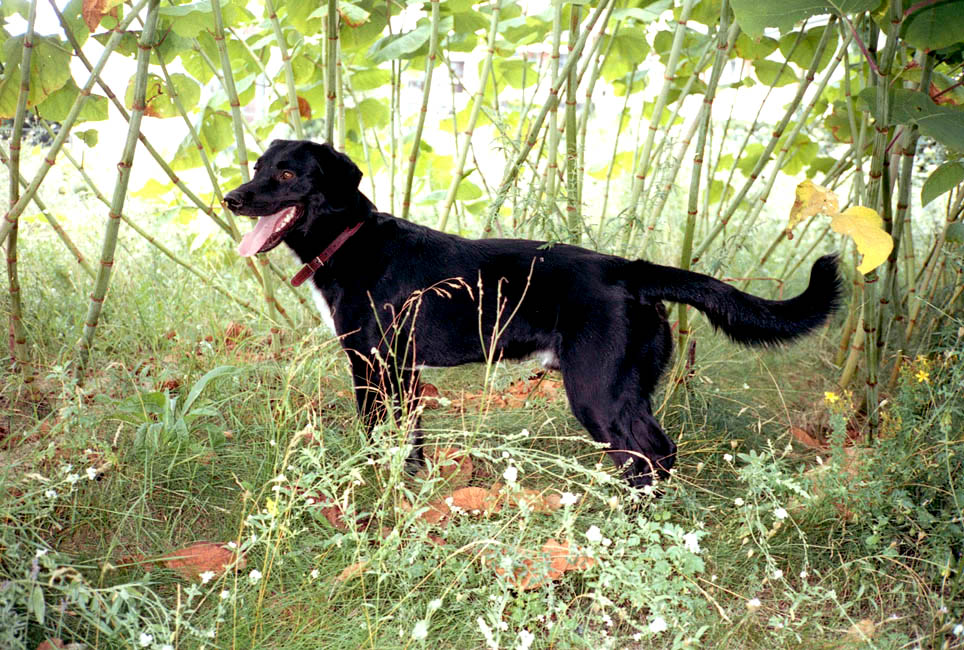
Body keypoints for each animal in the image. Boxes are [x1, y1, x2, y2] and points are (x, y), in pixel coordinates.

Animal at [224, 140, 840, 488]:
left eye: (287, 175)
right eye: (256, 167)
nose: (231, 198)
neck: (350, 241)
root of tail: (629, 270)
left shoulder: (374, 367)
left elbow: (381, 438)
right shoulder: (403, 372)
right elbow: (411, 444)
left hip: (595, 389)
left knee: (650, 454)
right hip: (627, 388)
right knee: (657, 453)